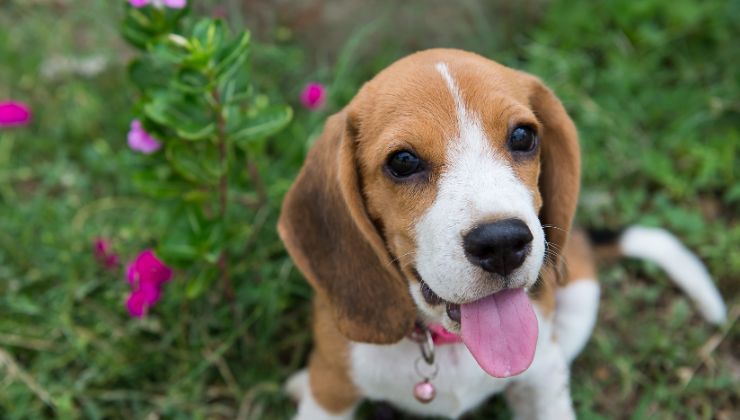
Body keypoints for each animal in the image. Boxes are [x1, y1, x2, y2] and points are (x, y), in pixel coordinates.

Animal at [278, 47, 728, 418]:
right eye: (403, 161)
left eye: (523, 136)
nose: (502, 243)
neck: (448, 346)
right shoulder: (331, 395)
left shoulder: (543, 382)